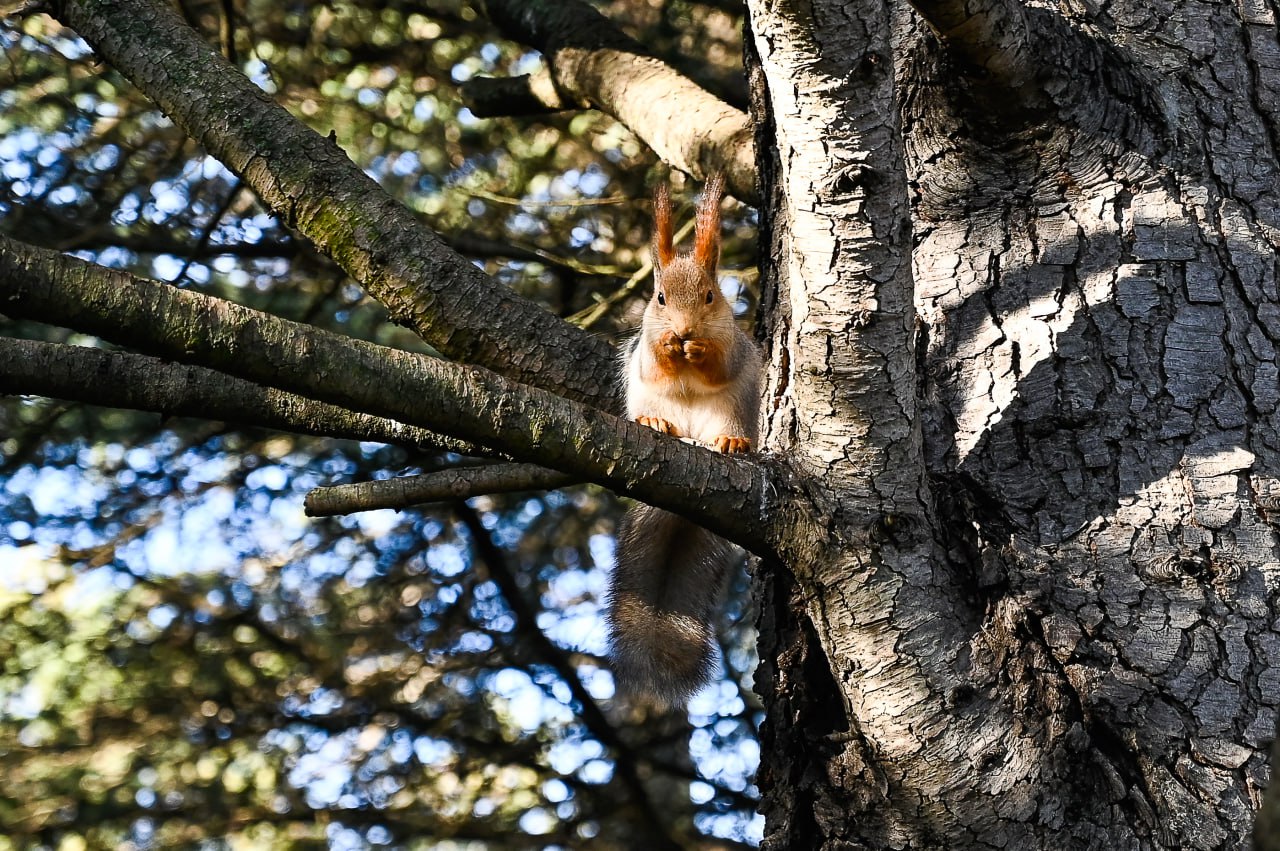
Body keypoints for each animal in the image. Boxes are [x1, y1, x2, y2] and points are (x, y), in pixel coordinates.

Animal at [606, 175, 757, 706]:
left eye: (711, 296)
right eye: (659, 298)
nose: (684, 330)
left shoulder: (735, 346)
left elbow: (719, 363)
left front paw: (698, 348)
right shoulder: (645, 350)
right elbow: (656, 362)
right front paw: (672, 348)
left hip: (731, 412)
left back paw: (731, 445)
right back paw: (656, 422)